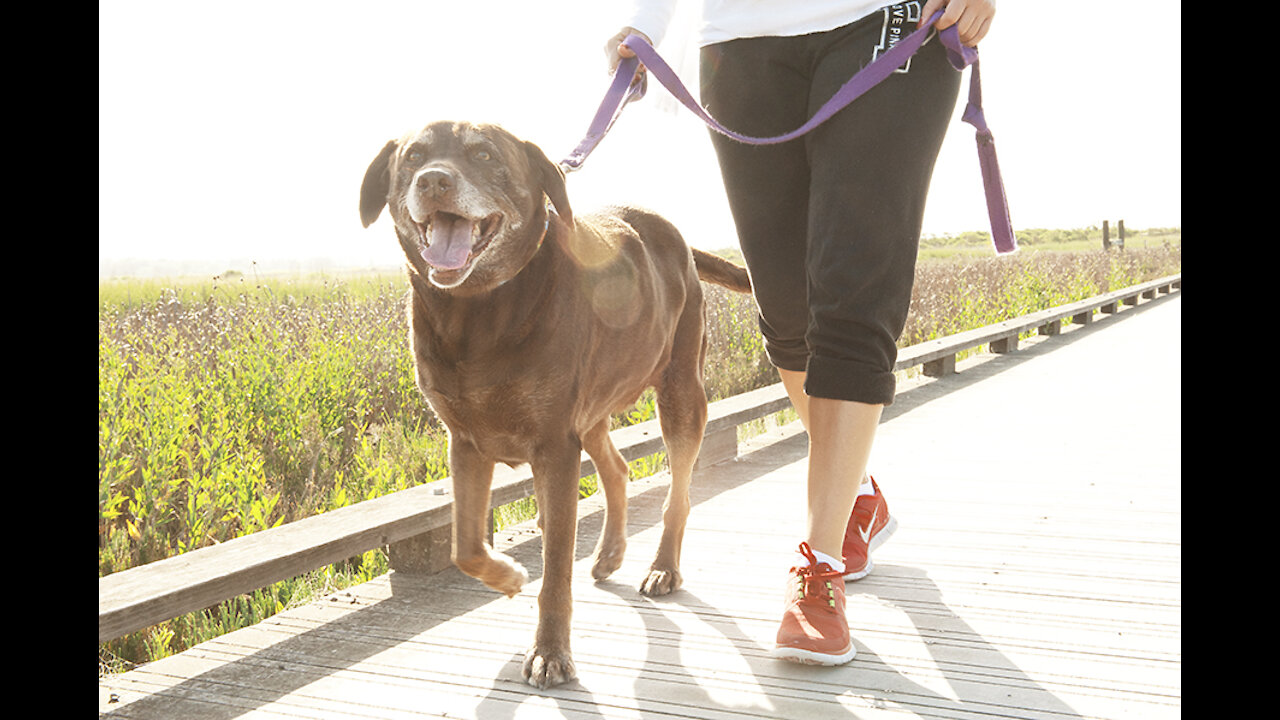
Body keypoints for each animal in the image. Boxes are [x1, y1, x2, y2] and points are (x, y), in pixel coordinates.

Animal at [360, 121, 747, 681]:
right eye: (413, 157)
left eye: (484, 154)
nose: (433, 181)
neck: (475, 313)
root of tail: (679, 240)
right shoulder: (466, 442)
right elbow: (465, 546)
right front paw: (505, 575)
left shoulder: (555, 446)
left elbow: (557, 564)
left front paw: (550, 651)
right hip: (592, 411)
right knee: (616, 469)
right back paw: (609, 554)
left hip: (680, 393)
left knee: (678, 493)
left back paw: (663, 567)